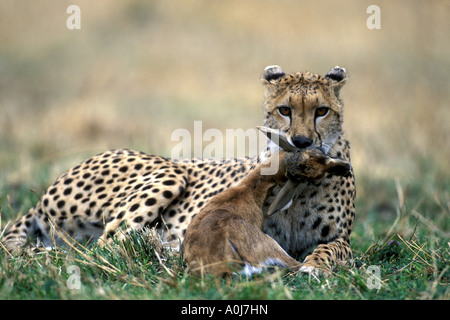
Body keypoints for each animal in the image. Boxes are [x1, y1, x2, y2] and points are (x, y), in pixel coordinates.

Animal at [1, 65, 356, 276]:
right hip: (169, 173)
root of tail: (42, 197)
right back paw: (160, 249)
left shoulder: (340, 239)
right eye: (284, 110)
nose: (301, 141)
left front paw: (315, 266)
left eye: (321, 111)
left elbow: (331, 249)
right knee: (105, 249)